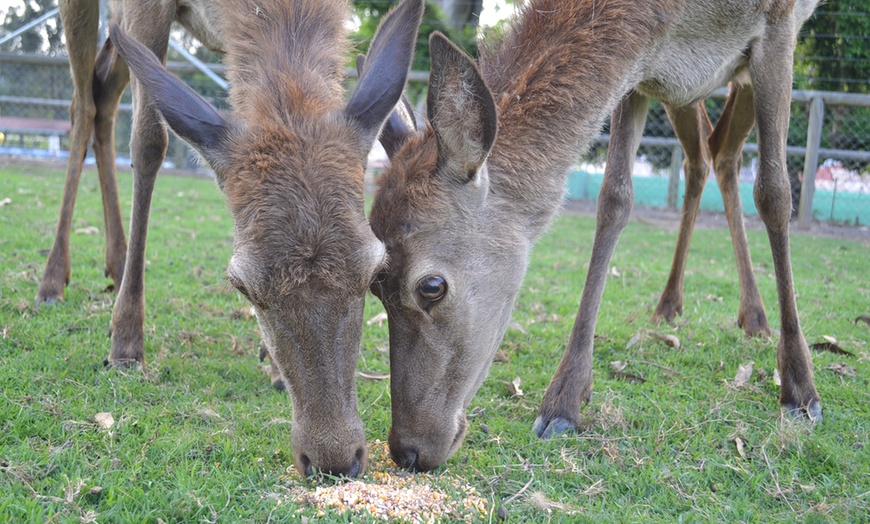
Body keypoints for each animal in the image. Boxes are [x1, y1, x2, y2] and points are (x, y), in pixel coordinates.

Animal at [37, 0, 426, 478]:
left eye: (375, 272)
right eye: (242, 285)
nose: (335, 459)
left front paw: (271, 364)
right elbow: (149, 140)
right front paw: (125, 343)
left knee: (104, 91)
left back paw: (118, 260)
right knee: (83, 104)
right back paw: (54, 278)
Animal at [370, 0, 824, 472]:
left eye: (431, 286)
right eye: (374, 285)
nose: (407, 449)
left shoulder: (779, 24)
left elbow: (774, 193)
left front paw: (801, 390)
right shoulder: (644, 72)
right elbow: (614, 199)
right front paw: (565, 400)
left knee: (728, 157)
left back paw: (756, 318)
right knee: (708, 154)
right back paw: (679, 305)